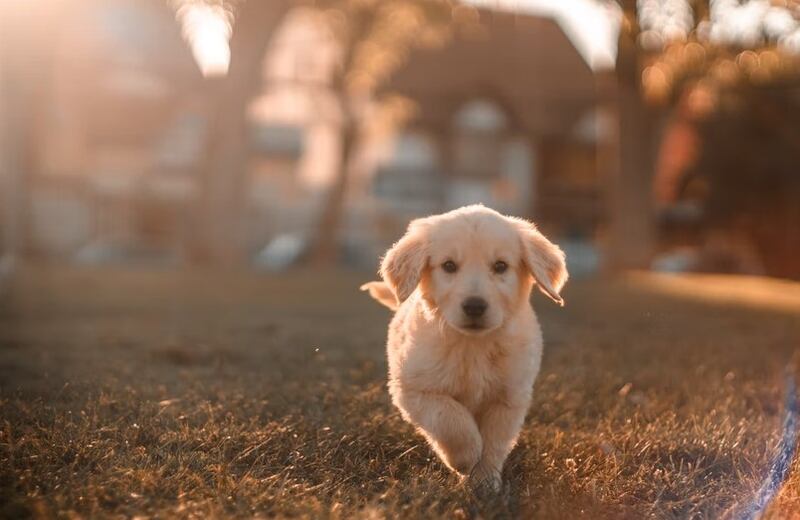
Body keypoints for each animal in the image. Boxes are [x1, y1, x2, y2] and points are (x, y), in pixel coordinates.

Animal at [360, 204, 564, 492]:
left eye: (500, 266)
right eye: (449, 266)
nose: (475, 306)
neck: (473, 345)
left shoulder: (509, 398)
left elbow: (494, 443)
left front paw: (484, 482)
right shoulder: (414, 389)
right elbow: (450, 418)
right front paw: (465, 458)